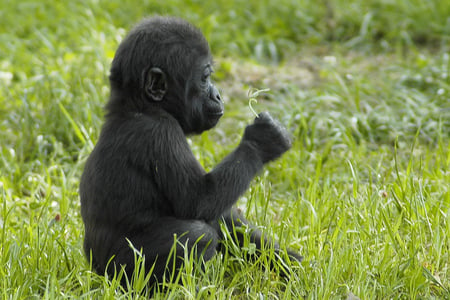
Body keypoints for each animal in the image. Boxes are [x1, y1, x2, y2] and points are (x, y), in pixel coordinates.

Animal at [80, 15, 302, 286]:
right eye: (205, 78)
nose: (218, 95)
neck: (137, 106)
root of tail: (95, 270)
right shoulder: (160, 132)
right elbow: (199, 200)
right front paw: (263, 140)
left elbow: (222, 215)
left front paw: (288, 261)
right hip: (118, 271)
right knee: (197, 233)